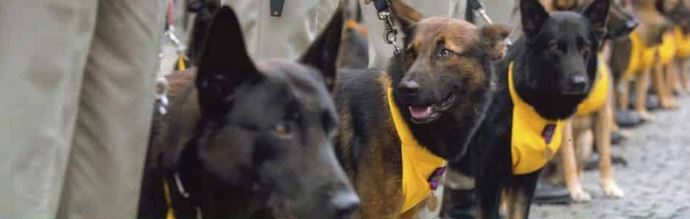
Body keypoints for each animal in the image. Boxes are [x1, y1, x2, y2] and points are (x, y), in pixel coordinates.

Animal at [446, 0, 608, 219]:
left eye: (586, 46)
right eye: (555, 46)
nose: (579, 83)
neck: (519, 98)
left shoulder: (524, 181)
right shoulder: (489, 181)